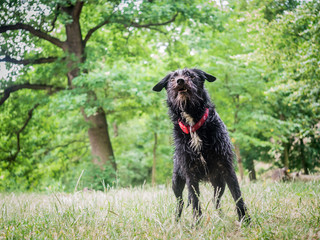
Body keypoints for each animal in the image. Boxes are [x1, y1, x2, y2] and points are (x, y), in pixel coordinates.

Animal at [152, 68, 250, 222]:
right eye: (172, 79)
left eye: (191, 75)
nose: (180, 81)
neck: (193, 125)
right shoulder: (190, 173)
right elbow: (195, 202)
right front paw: (196, 224)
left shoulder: (226, 167)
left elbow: (237, 195)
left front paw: (245, 220)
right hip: (176, 181)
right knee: (180, 202)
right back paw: (176, 221)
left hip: (219, 184)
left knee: (216, 201)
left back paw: (221, 217)